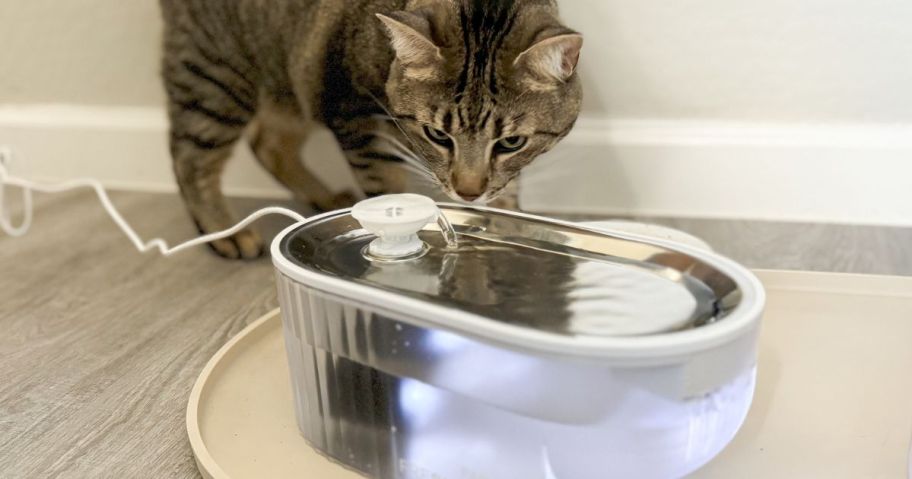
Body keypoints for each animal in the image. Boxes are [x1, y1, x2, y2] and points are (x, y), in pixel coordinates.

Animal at [159, 0, 580, 258]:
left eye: (512, 142)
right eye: (438, 136)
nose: (468, 192)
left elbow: (508, 191)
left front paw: (508, 223)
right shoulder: (355, 116)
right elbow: (386, 186)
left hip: (289, 77)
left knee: (268, 144)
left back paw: (325, 198)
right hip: (214, 74)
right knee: (190, 158)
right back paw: (225, 232)